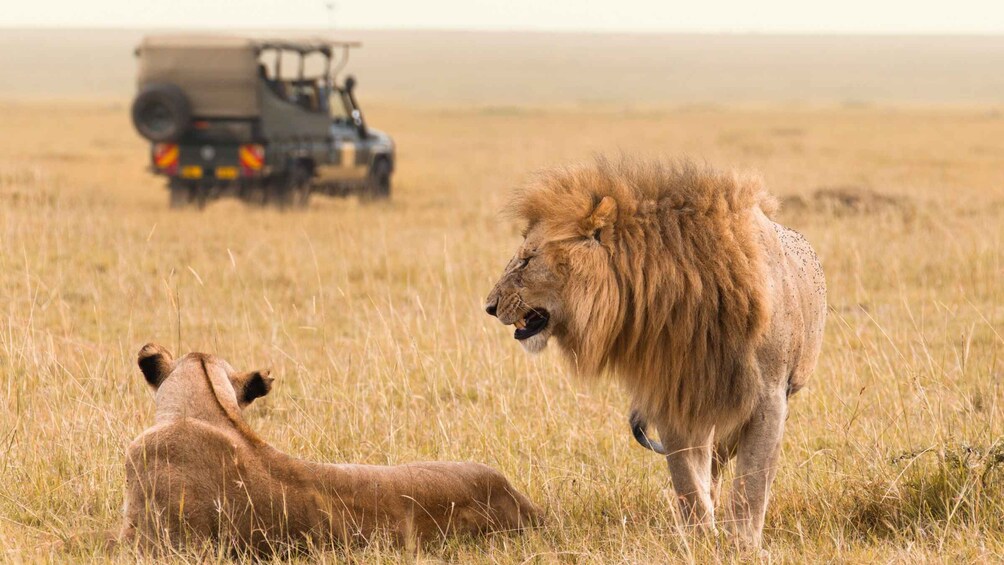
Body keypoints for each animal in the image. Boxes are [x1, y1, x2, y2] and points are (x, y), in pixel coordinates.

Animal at [485, 158, 826, 546]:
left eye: (527, 261)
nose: (490, 306)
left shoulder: (769, 396)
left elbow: (752, 480)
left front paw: (742, 544)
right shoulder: (674, 394)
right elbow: (686, 478)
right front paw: (700, 539)